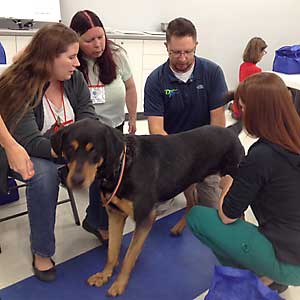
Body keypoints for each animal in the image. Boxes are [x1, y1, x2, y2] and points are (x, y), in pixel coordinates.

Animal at [51, 118, 244, 296]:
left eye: (94, 151)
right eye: (70, 149)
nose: (76, 181)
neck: (123, 166)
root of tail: (231, 130)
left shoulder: (145, 218)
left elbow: (129, 256)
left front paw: (119, 284)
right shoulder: (115, 214)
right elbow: (112, 251)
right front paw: (104, 275)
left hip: (231, 184)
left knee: (236, 213)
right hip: (186, 181)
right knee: (192, 203)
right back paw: (178, 228)